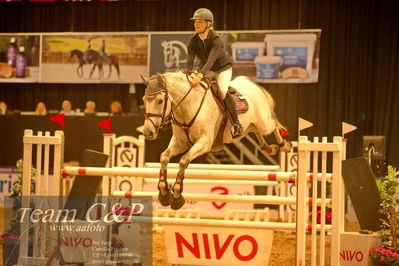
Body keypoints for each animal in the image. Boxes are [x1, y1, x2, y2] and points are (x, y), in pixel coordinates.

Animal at [142, 72, 292, 210]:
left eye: (160, 101)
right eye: (144, 100)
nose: (148, 132)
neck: (188, 105)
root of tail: (251, 84)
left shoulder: (204, 142)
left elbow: (184, 160)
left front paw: (177, 196)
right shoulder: (180, 143)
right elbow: (164, 157)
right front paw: (163, 193)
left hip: (264, 122)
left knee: (273, 123)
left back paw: (284, 145)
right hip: (251, 125)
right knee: (256, 130)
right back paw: (268, 148)